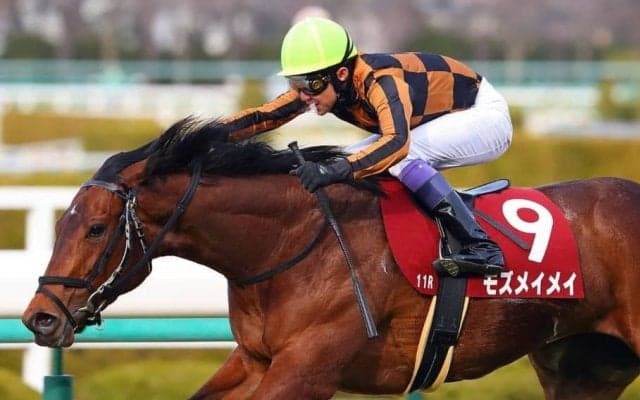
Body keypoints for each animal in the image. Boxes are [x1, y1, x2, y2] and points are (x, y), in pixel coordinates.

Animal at [22, 117, 640, 400]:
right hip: (584, 365)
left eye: (96, 227)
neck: (290, 245)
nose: (39, 318)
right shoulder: (256, 361)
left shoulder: (307, 370)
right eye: (60, 223)